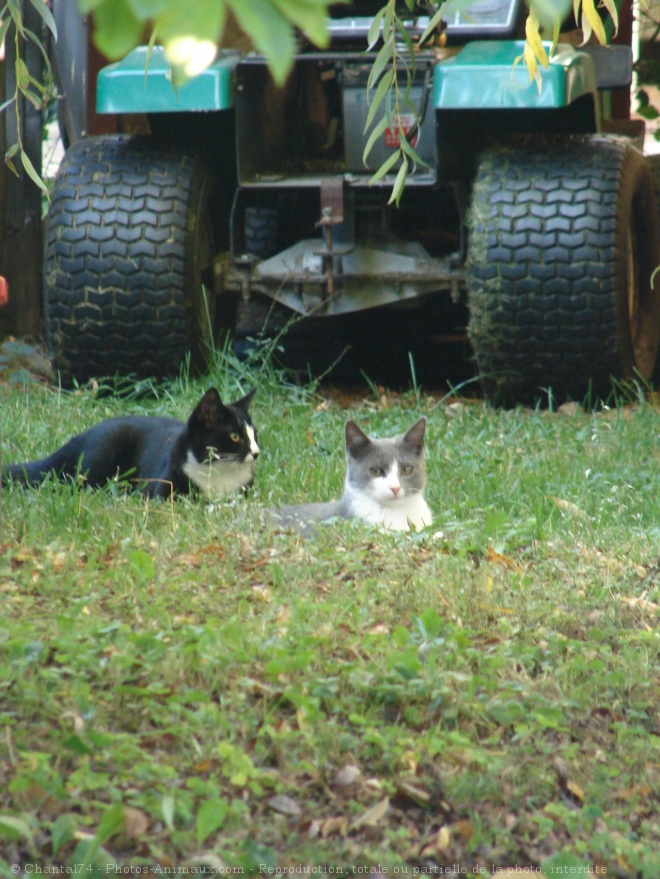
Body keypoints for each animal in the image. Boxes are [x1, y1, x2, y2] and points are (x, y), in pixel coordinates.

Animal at [1, 386, 260, 498]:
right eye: (235, 436)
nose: (256, 452)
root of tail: (76, 439)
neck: (219, 472)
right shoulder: (161, 488)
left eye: (254, 433)